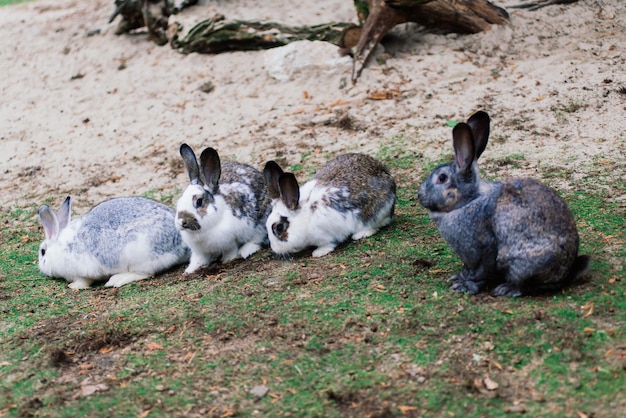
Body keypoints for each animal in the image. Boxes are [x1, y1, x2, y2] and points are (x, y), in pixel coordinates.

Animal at [416, 109, 588, 296]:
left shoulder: (483, 246)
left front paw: (465, 286)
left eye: (442, 178)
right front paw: (458, 278)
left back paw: (507, 289)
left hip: (523, 263)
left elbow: (480, 272)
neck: (469, 201)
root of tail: (567, 271)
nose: (420, 195)